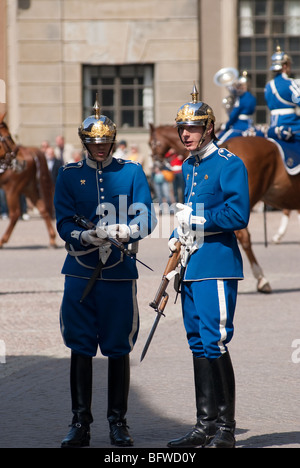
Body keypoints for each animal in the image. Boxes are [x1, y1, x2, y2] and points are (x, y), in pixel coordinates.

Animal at [0, 114, 56, 249]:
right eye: (8, 137)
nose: (21, 162)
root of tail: (30, 151)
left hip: (13, 189)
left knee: (15, 214)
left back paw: (2, 240)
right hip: (28, 188)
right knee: (43, 208)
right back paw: (52, 238)